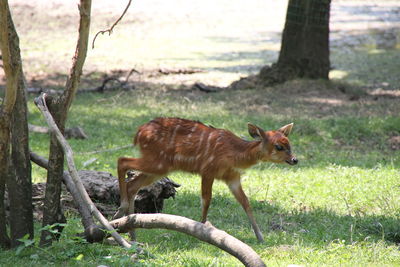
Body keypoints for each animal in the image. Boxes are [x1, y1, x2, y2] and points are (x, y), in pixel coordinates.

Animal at [113, 118, 296, 243]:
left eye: (289, 144)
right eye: (279, 146)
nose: (295, 160)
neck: (234, 154)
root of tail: (139, 133)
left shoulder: (232, 178)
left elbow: (245, 202)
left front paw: (260, 237)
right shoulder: (208, 170)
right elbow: (206, 199)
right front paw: (201, 230)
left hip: (160, 166)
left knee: (133, 184)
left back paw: (131, 231)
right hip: (158, 161)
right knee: (122, 161)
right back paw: (121, 210)